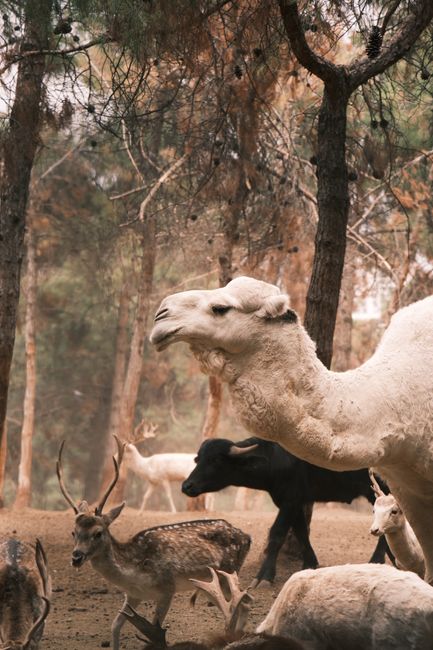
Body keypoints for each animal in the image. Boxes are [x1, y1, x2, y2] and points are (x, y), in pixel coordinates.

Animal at [56, 436, 251, 650]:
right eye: (73, 532)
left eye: (98, 533)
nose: (76, 557)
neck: (133, 571)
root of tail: (247, 537)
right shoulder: (133, 595)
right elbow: (115, 626)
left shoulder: (167, 588)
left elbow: (155, 627)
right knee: (246, 601)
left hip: (228, 572)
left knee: (242, 603)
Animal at [150, 276, 433, 582]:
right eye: (197, 458)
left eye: (221, 308)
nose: (161, 315)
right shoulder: (404, 486)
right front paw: (307, 565)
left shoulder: (294, 494)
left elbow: (279, 532)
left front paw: (265, 577)